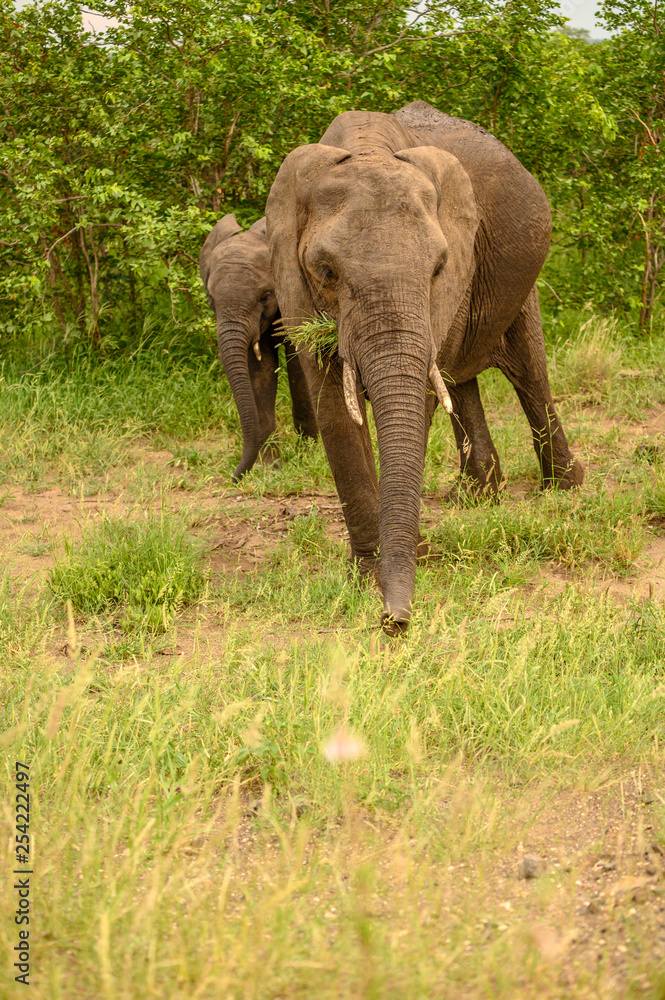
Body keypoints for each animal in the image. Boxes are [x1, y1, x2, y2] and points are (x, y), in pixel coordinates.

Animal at [198, 211, 318, 480]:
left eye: (265, 297)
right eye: (211, 298)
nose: (233, 478)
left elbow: (299, 368)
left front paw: (309, 456)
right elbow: (258, 370)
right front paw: (271, 469)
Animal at [264, 101, 580, 632]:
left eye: (437, 268)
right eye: (326, 271)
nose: (395, 620)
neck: (368, 148)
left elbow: (424, 398)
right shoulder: (294, 283)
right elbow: (334, 406)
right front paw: (369, 573)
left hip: (519, 281)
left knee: (527, 371)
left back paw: (564, 490)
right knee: (461, 376)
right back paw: (478, 496)